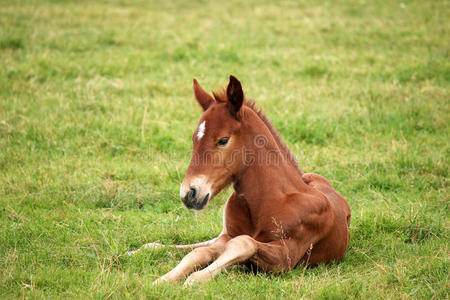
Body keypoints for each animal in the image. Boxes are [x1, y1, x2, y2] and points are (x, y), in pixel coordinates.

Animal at [130, 75, 352, 286]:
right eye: (194, 139)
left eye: (222, 140)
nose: (188, 193)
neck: (269, 200)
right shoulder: (228, 235)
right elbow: (201, 252)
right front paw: (163, 280)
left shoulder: (287, 256)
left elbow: (243, 243)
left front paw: (195, 279)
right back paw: (140, 250)